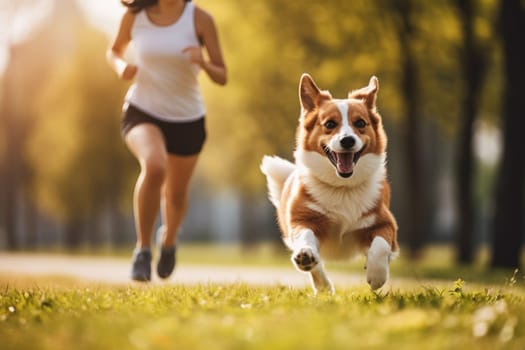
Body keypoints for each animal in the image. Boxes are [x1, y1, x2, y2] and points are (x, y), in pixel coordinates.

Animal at [260, 74, 400, 296]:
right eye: (330, 124)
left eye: (360, 123)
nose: (347, 140)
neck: (342, 187)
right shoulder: (302, 219)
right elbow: (306, 238)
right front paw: (306, 255)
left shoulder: (385, 223)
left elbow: (380, 246)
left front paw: (376, 276)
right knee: (317, 265)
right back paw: (322, 284)